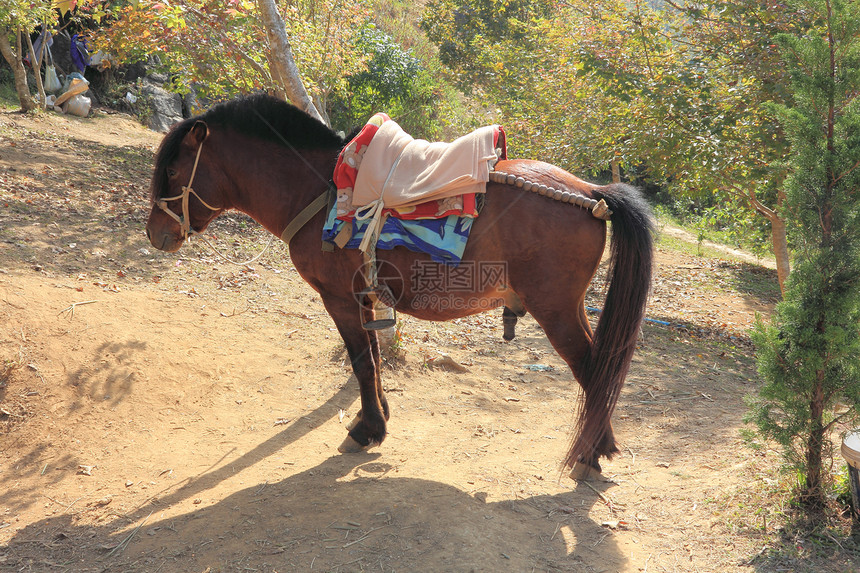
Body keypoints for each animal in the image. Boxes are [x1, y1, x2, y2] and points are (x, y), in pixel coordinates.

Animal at [146, 95, 652, 478]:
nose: (155, 234)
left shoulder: (339, 299)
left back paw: (590, 453)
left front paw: (366, 429)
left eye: (172, 172)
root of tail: (591, 193)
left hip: (557, 311)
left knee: (594, 370)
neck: (318, 191)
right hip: (569, 307)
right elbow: (372, 357)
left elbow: (361, 362)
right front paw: (376, 418)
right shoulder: (365, 298)